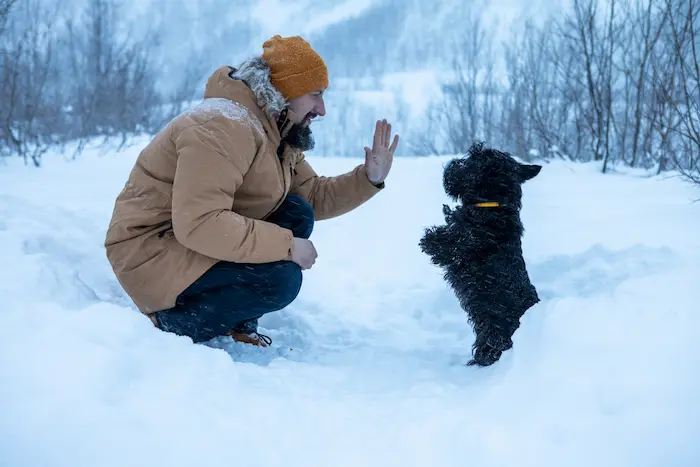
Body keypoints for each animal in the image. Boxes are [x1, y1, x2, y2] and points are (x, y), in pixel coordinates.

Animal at [422, 141, 540, 368]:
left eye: (478, 157)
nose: (453, 163)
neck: (491, 204)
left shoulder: (460, 246)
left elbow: (445, 242)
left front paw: (429, 239)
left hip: (494, 326)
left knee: (495, 345)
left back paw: (482, 360)